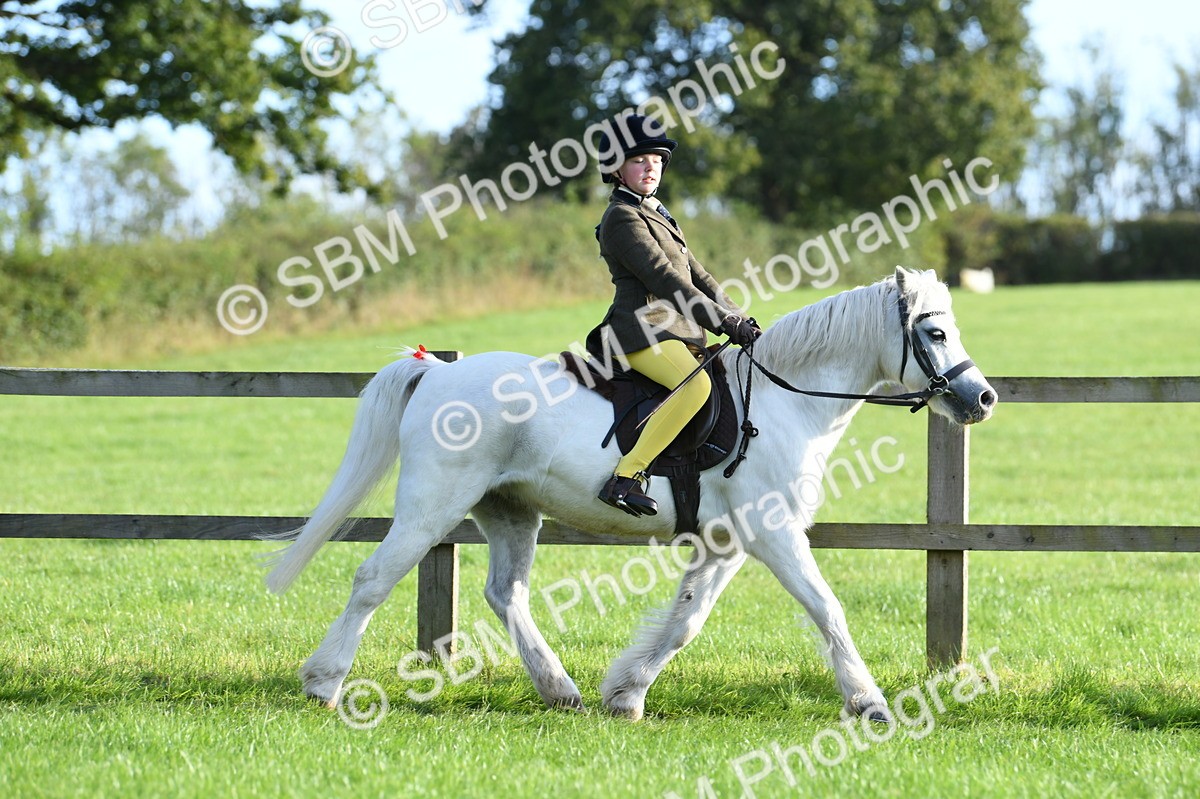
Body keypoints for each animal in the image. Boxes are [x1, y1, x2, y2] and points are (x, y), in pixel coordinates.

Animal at [262, 266, 997, 722]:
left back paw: (560, 690)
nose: (983, 398)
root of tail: (437, 375)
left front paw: (626, 693)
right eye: (935, 332)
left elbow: (685, 620)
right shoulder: (775, 534)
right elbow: (827, 608)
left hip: (510, 511)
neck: (788, 400)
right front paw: (870, 703)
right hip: (432, 504)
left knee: (505, 593)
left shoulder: (727, 542)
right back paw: (324, 683)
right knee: (373, 579)